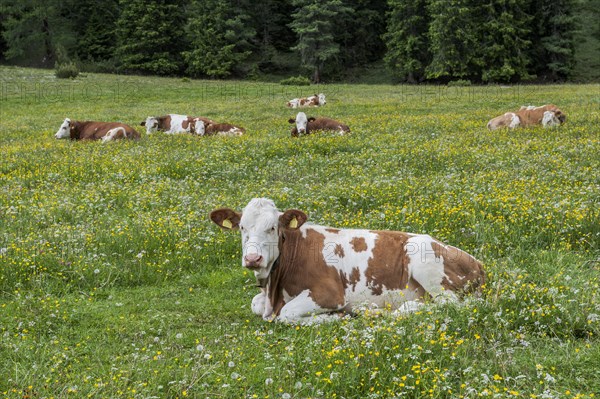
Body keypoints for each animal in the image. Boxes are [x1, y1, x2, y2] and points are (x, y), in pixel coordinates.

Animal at [211, 198, 488, 324]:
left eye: (272, 228)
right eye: (242, 227)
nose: (252, 258)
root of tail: (478, 263)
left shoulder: (329, 293)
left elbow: (287, 315)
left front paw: (334, 317)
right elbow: (254, 304)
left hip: (423, 259)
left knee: (449, 304)